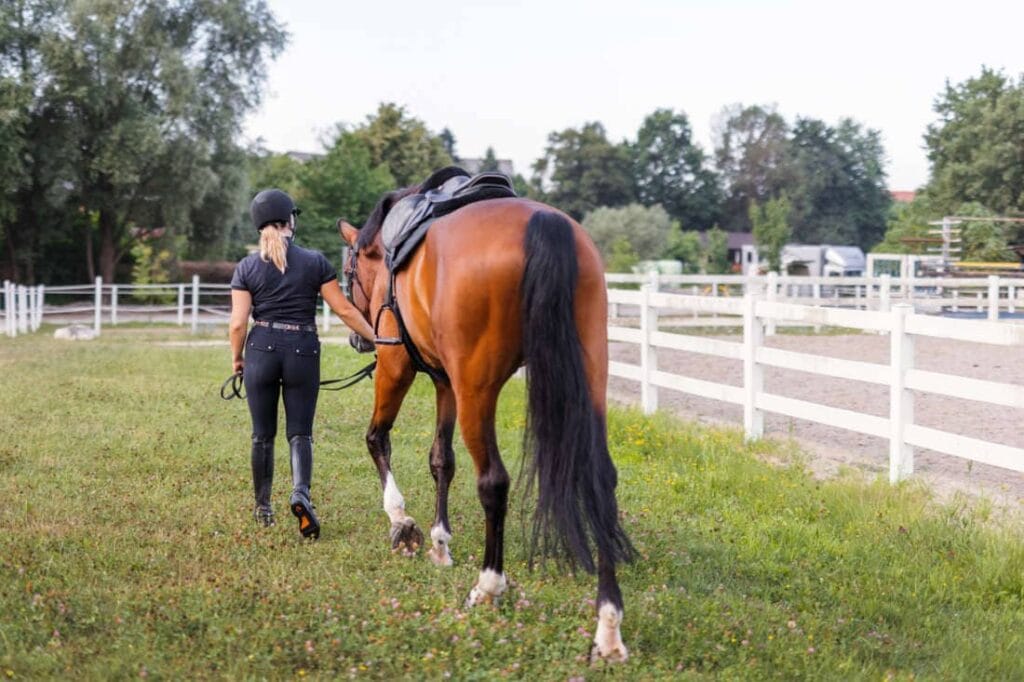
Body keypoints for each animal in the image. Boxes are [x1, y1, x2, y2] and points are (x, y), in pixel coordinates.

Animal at [337, 171, 635, 662]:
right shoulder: (445, 382)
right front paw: (440, 543)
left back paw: (489, 585)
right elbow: (441, 459)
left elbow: (377, 438)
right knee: (600, 481)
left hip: (475, 389)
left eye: (348, 274)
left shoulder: (398, 364)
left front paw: (402, 522)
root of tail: (545, 223)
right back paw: (609, 626)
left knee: (493, 481)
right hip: (588, 375)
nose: (358, 340)